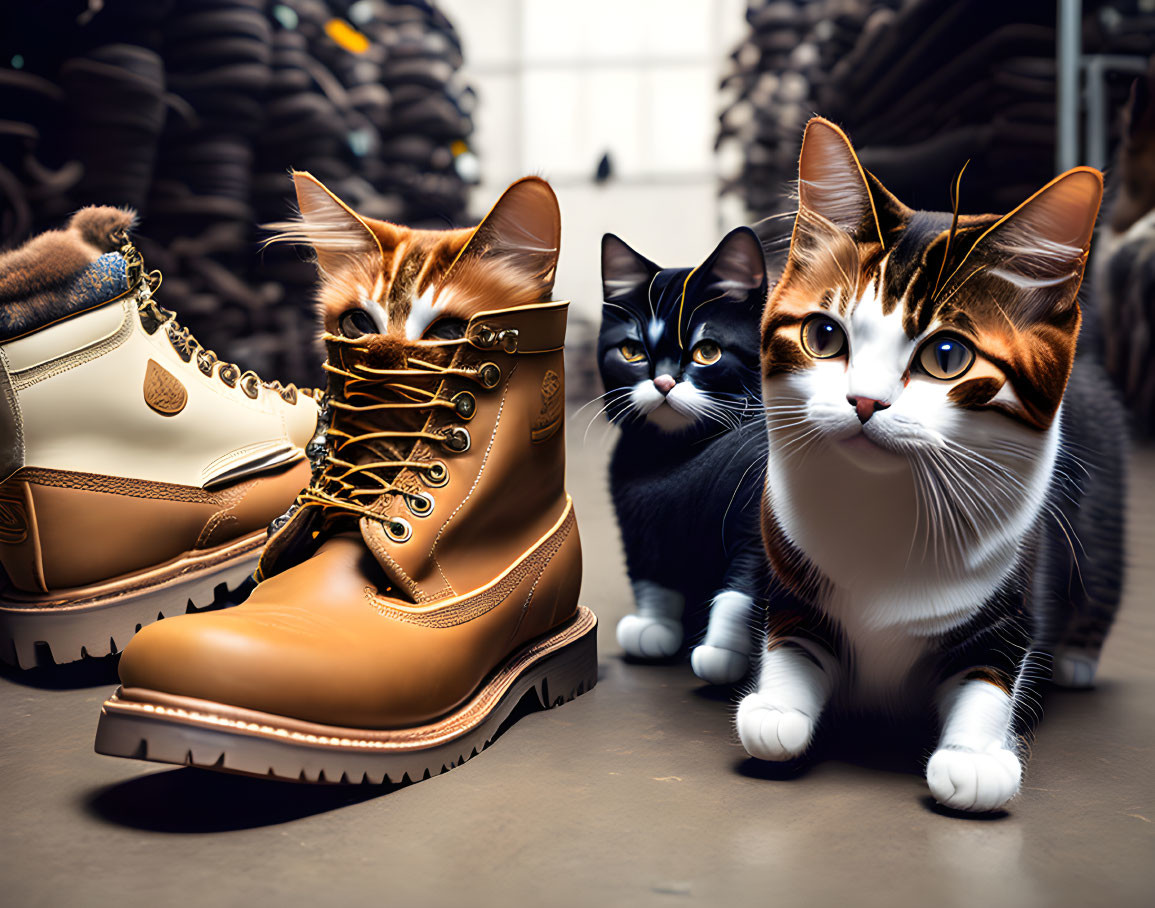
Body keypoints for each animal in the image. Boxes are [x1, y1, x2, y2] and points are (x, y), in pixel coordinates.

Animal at [600, 226, 771, 679]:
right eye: (631, 352)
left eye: (707, 352)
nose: (663, 382)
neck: (678, 454)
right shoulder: (635, 516)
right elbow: (649, 570)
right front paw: (652, 626)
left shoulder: (756, 504)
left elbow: (745, 576)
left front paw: (722, 649)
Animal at [739, 116, 1127, 808]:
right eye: (824, 336)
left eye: (947, 356)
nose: (864, 401)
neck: (887, 502)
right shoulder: (785, 556)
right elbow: (793, 634)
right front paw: (777, 706)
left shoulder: (1016, 580)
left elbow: (993, 669)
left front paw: (975, 756)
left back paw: (1077, 660)